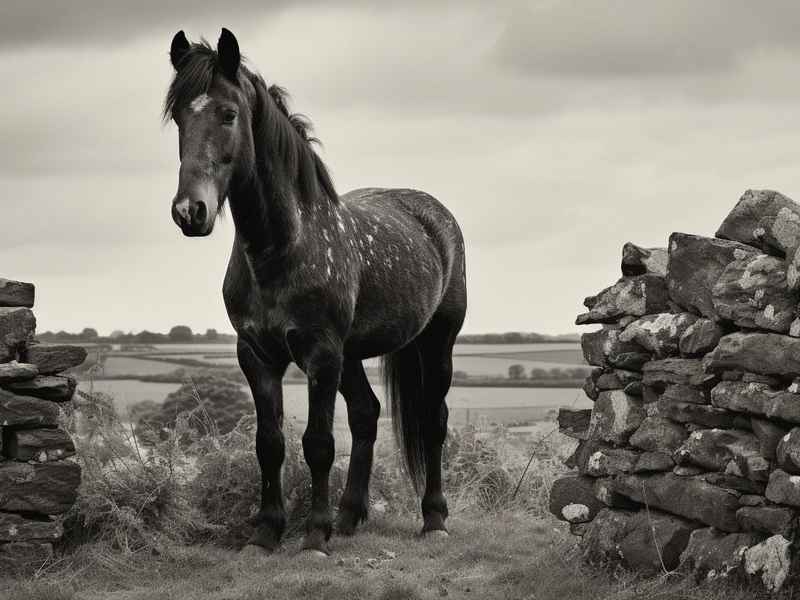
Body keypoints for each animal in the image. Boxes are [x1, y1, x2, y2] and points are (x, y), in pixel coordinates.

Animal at [164, 28, 467, 556]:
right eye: (179, 116)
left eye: (228, 113)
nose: (189, 211)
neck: (283, 247)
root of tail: (433, 214)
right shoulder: (257, 355)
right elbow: (270, 444)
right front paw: (265, 532)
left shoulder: (321, 353)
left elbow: (318, 443)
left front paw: (314, 536)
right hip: (352, 355)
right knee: (367, 415)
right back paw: (349, 517)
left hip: (435, 343)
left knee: (433, 421)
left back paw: (433, 520)